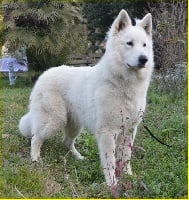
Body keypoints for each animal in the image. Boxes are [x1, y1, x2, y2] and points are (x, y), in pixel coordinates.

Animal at [18, 10, 154, 187]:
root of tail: (44, 74)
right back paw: (35, 159)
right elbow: (110, 162)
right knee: (36, 138)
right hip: (54, 121)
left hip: (75, 124)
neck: (122, 83)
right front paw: (112, 184)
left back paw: (79, 158)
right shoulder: (107, 132)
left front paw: (129, 177)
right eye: (129, 43)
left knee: (66, 142)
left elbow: (125, 158)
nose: (144, 59)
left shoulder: (129, 131)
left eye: (144, 45)